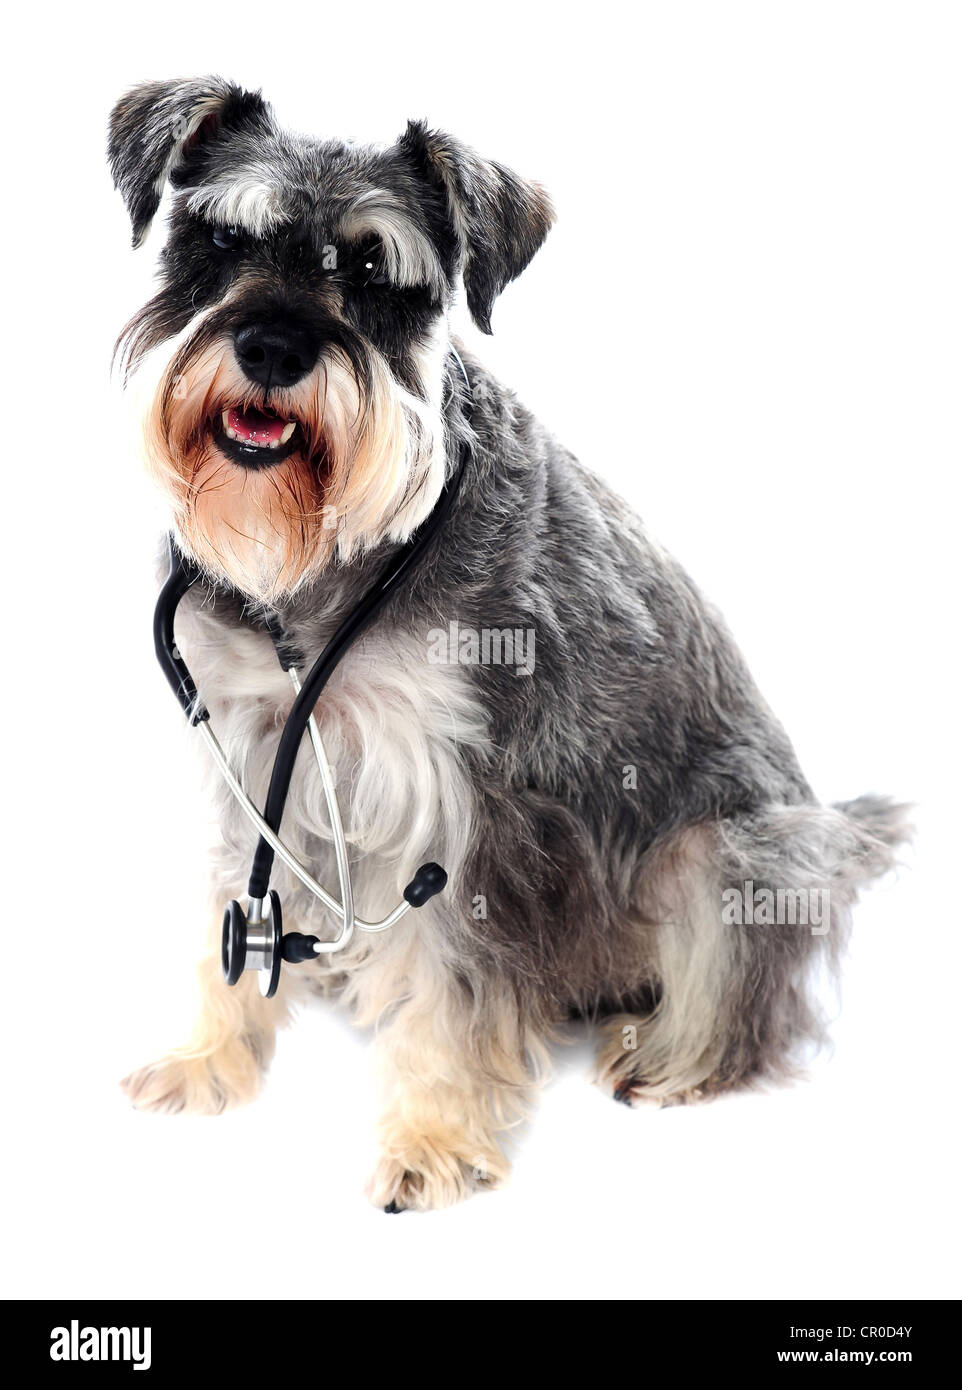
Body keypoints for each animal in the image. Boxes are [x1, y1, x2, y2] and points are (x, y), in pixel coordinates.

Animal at [109, 78, 906, 1206]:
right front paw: (207, 1059)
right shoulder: (251, 745)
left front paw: (432, 1139)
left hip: (727, 853)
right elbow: (237, 898)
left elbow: (457, 975)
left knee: (744, 1005)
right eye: (222, 237)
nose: (270, 349)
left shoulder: (468, 800)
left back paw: (662, 1054)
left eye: (372, 267)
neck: (326, 559)